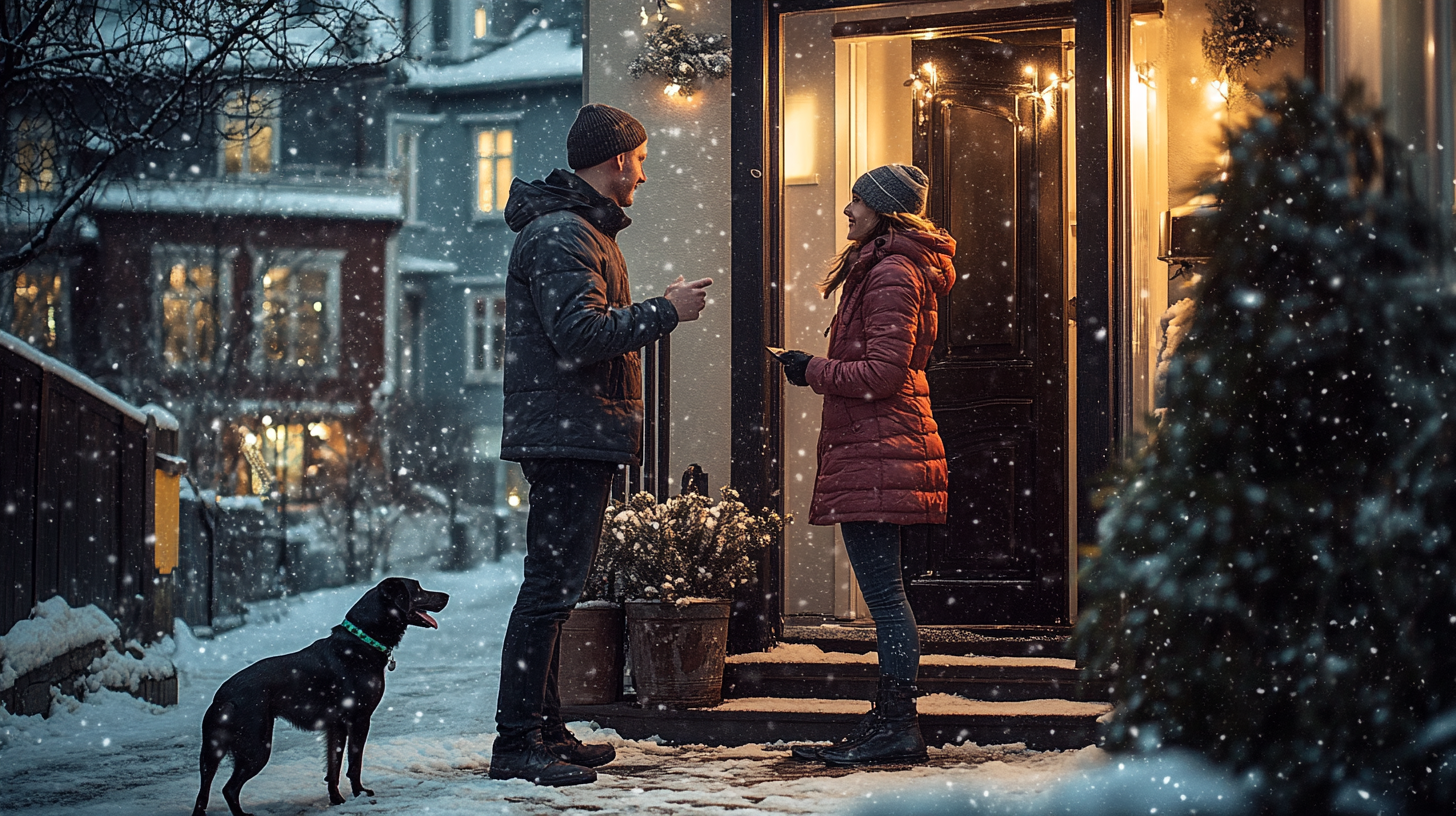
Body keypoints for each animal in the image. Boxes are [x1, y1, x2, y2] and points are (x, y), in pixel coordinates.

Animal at [192, 577, 448, 816]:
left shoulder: (336, 726)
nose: (446, 596)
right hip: (257, 748)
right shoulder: (359, 719)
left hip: (211, 753)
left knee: (203, 792)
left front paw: (336, 800)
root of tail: (223, 698)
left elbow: (333, 767)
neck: (361, 642)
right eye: (418, 588)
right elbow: (354, 763)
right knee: (229, 789)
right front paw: (359, 793)